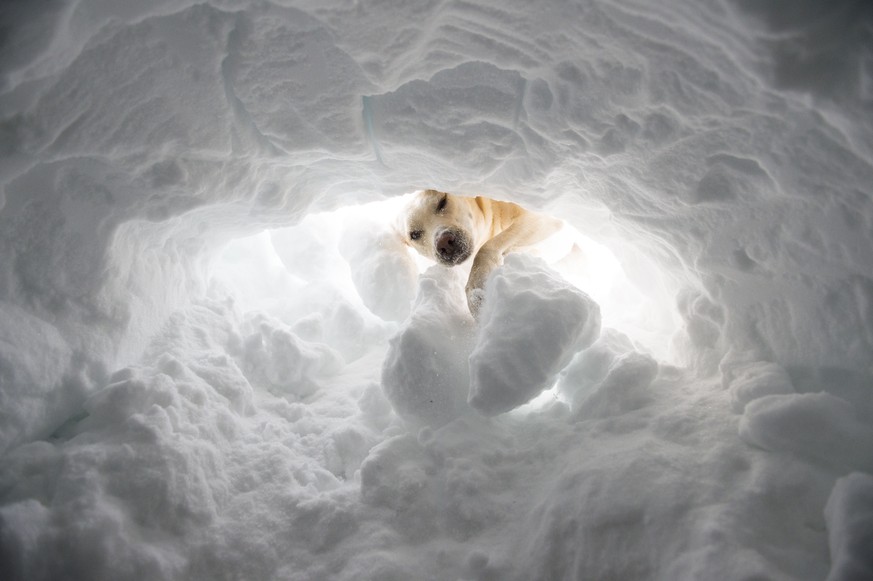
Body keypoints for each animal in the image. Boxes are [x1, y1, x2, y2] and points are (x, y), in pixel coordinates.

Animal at [398, 188, 564, 314]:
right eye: (414, 234)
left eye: (442, 201)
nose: (443, 242)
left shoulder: (545, 219)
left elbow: (486, 249)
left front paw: (477, 293)